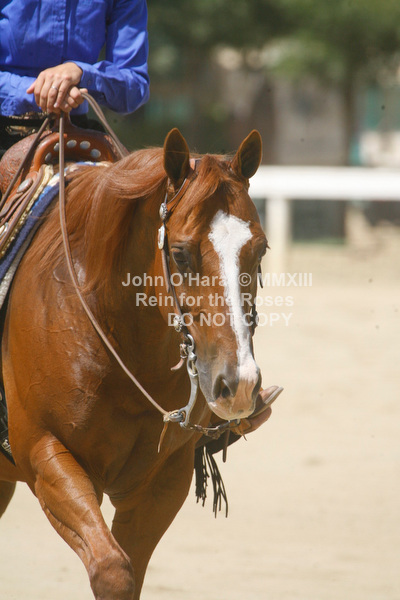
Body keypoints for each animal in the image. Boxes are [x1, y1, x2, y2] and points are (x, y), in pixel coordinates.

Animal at [0, 127, 269, 599]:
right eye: (179, 254)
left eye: (261, 250)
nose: (237, 386)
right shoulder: (43, 454)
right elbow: (112, 570)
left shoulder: (163, 481)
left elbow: (131, 570)